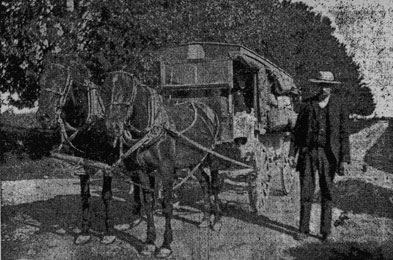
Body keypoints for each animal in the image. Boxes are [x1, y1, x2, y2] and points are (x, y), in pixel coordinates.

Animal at [38, 61, 225, 258]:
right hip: (192, 160)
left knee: (214, 182)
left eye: (61, 82)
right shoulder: (89, 165)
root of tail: (207, 109)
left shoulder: (154, 168)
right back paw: (204, 217)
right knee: (204, 181)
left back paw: (216, 220)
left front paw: (163, 244)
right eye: (41, 83)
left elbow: (113, 197)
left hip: (211, 154)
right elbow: (88, 197)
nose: (43, 117)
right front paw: (85, 232)